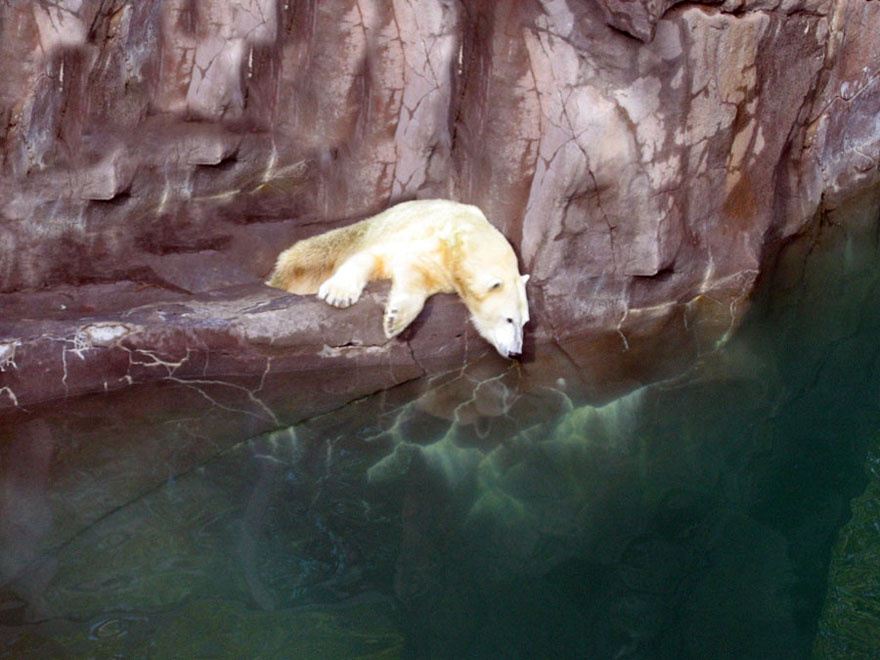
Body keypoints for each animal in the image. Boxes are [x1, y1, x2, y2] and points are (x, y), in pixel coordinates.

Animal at [267, 199, 530, 358]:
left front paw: (394, 319)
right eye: (509, 319)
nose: (516, 353)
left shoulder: (441, 268)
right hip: (361, 231)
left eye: (525, 322)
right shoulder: (417, 235)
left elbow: (414, 277)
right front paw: (338, 294)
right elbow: (376, 257)